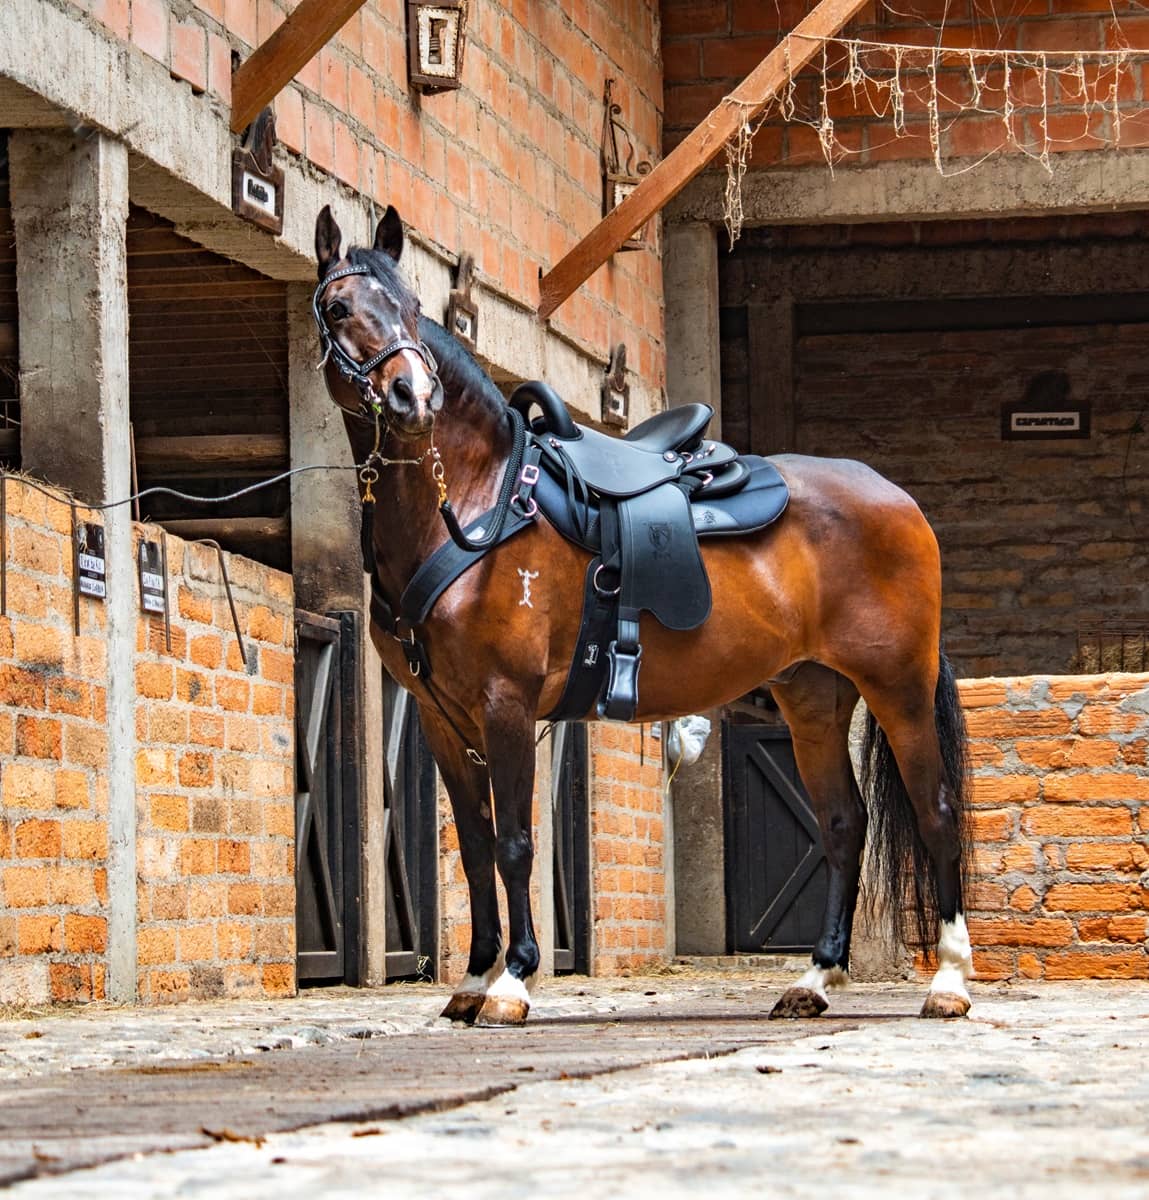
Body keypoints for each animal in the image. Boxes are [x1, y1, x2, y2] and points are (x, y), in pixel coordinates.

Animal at [311, 201, 969, 1027]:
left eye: (408, 306)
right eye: (340, 308)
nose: (412, 398)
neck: (478, 503)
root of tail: (897, 499)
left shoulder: (504, 704)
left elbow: (515, 842)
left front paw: (512, 982)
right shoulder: (438, 716)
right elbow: (474, 842)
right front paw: (472, 979)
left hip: (897, 687)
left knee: (935, 810)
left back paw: (949, 982)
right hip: (814, 698)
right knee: (845, 825)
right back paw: (813, 980)